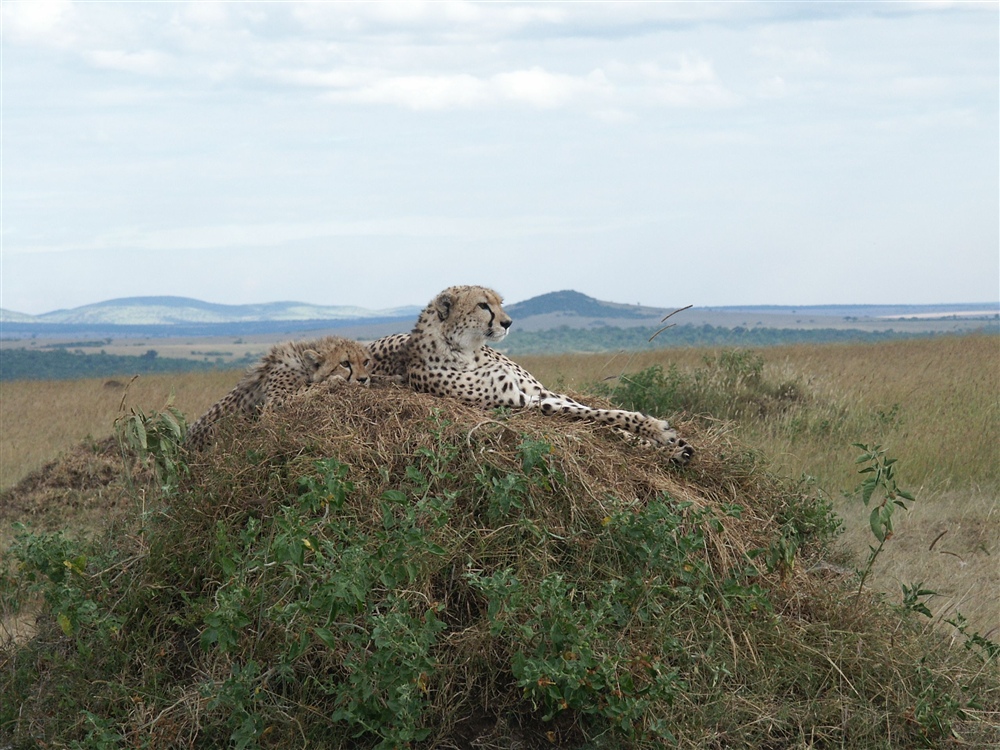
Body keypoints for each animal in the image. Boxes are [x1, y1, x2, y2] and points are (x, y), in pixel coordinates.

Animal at [187, 336, 372, 452]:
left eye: (366, 362)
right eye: (345, 363)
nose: (363, 379)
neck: (304, 366)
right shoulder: (272, 405)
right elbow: (304, 391)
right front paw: (333, 381)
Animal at [370, 286, 696, 464]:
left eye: (499, 302)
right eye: (482, 305)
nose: (508, 322)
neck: (466, 350)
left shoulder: (535, 393)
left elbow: (599, 412)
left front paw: (657, 433)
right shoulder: (521, 401)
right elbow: (599, 415)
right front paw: (655, 431)